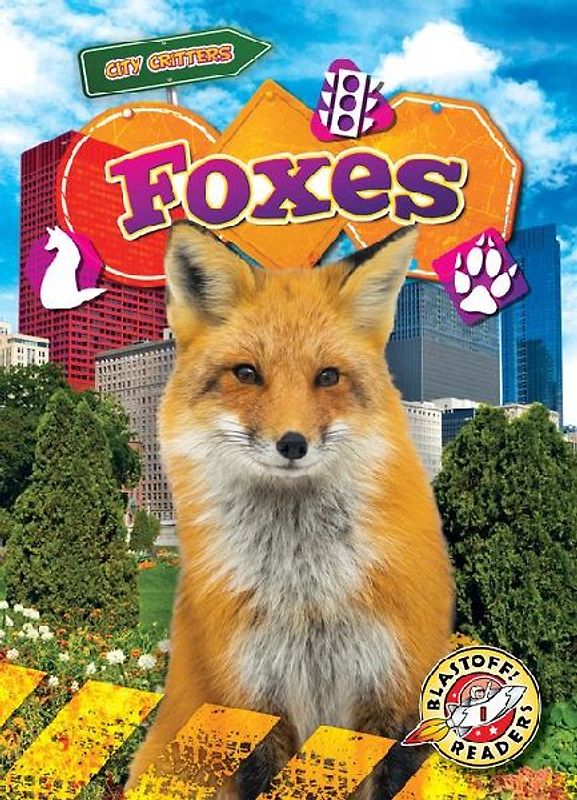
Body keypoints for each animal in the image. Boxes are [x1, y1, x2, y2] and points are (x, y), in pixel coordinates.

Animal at [126, 222, 454, 799]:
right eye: (246, 373)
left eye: (327, 377)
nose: (293, 443)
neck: (307, 599)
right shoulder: (249, 702)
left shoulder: (397, 699)